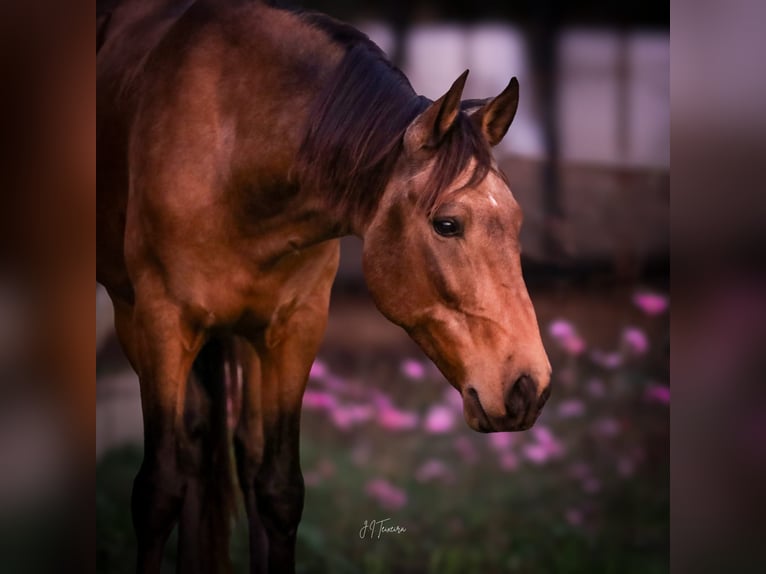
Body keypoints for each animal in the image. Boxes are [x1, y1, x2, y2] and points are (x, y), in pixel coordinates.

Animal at [97, 1, 552, 572]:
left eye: (516, 222)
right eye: (447, 224)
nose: (529, 387)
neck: (234, 148)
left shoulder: (297, 328)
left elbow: (279, 491)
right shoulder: (160, 322)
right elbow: (157, 492)